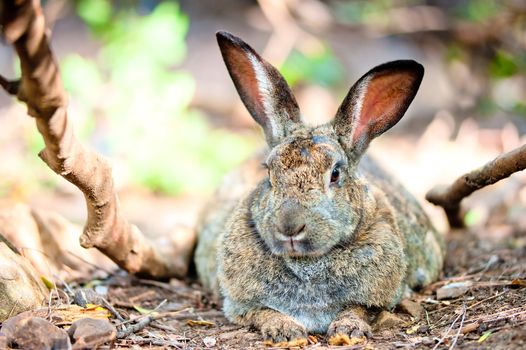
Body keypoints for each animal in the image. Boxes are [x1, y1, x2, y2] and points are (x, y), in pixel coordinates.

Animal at [194, 31, 446, 344]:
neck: (306, 262)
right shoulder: (240, 305)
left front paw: (348, 329)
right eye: (269, 172)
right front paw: (285, 330)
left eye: (335, 174)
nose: (289, 226)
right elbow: (263, 312)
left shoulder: (381, 298)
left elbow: (359, 308)